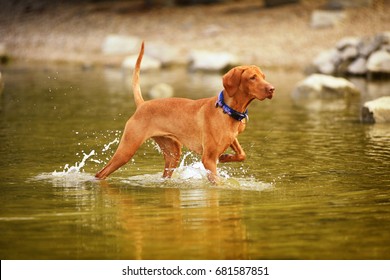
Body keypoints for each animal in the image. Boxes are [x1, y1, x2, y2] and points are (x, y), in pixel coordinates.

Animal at [95, 41, 274, 182]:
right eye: (252, 78)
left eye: (264, 76)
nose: (272, 89)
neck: (227, 111)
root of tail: (142, 104)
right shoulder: (208, 159)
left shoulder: (230, 139)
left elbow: (242, 154)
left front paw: (225, 157)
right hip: (127, 150)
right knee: (100, 173)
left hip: (172, 153)